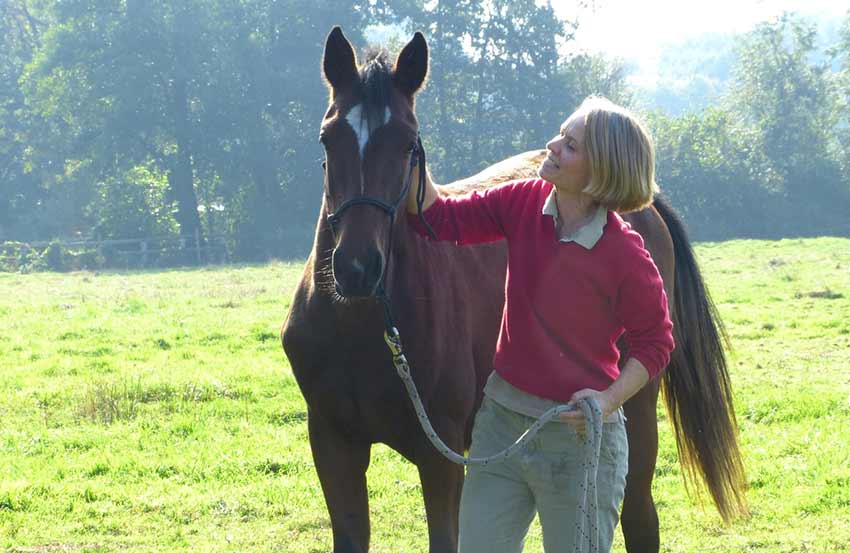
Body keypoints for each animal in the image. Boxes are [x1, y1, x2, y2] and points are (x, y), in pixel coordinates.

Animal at [282, 28, 744, 552]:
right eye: (329, 137)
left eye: (406, 143)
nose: (358, 268)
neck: (364, 331)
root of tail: (644, 205)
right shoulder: (334, 446)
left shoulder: (440, 457)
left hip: (637, 412)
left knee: (639, 515)